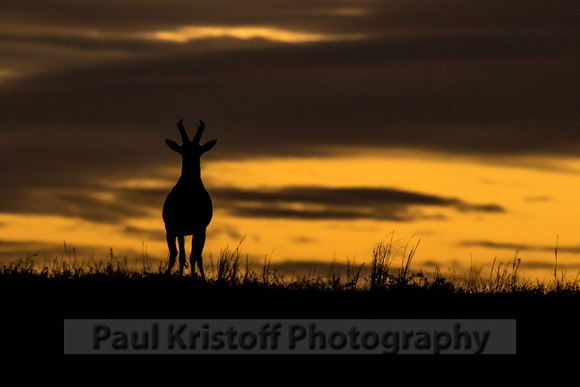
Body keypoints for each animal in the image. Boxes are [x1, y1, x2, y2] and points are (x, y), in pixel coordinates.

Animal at [163, 119, 218, 278]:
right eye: (182, 150)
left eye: (199, 150)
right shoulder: (177, 229)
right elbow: (180, 255)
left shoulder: (201, 229)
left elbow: (195, 256)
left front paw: (198, 277)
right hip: (173, 231)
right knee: (177, 254)